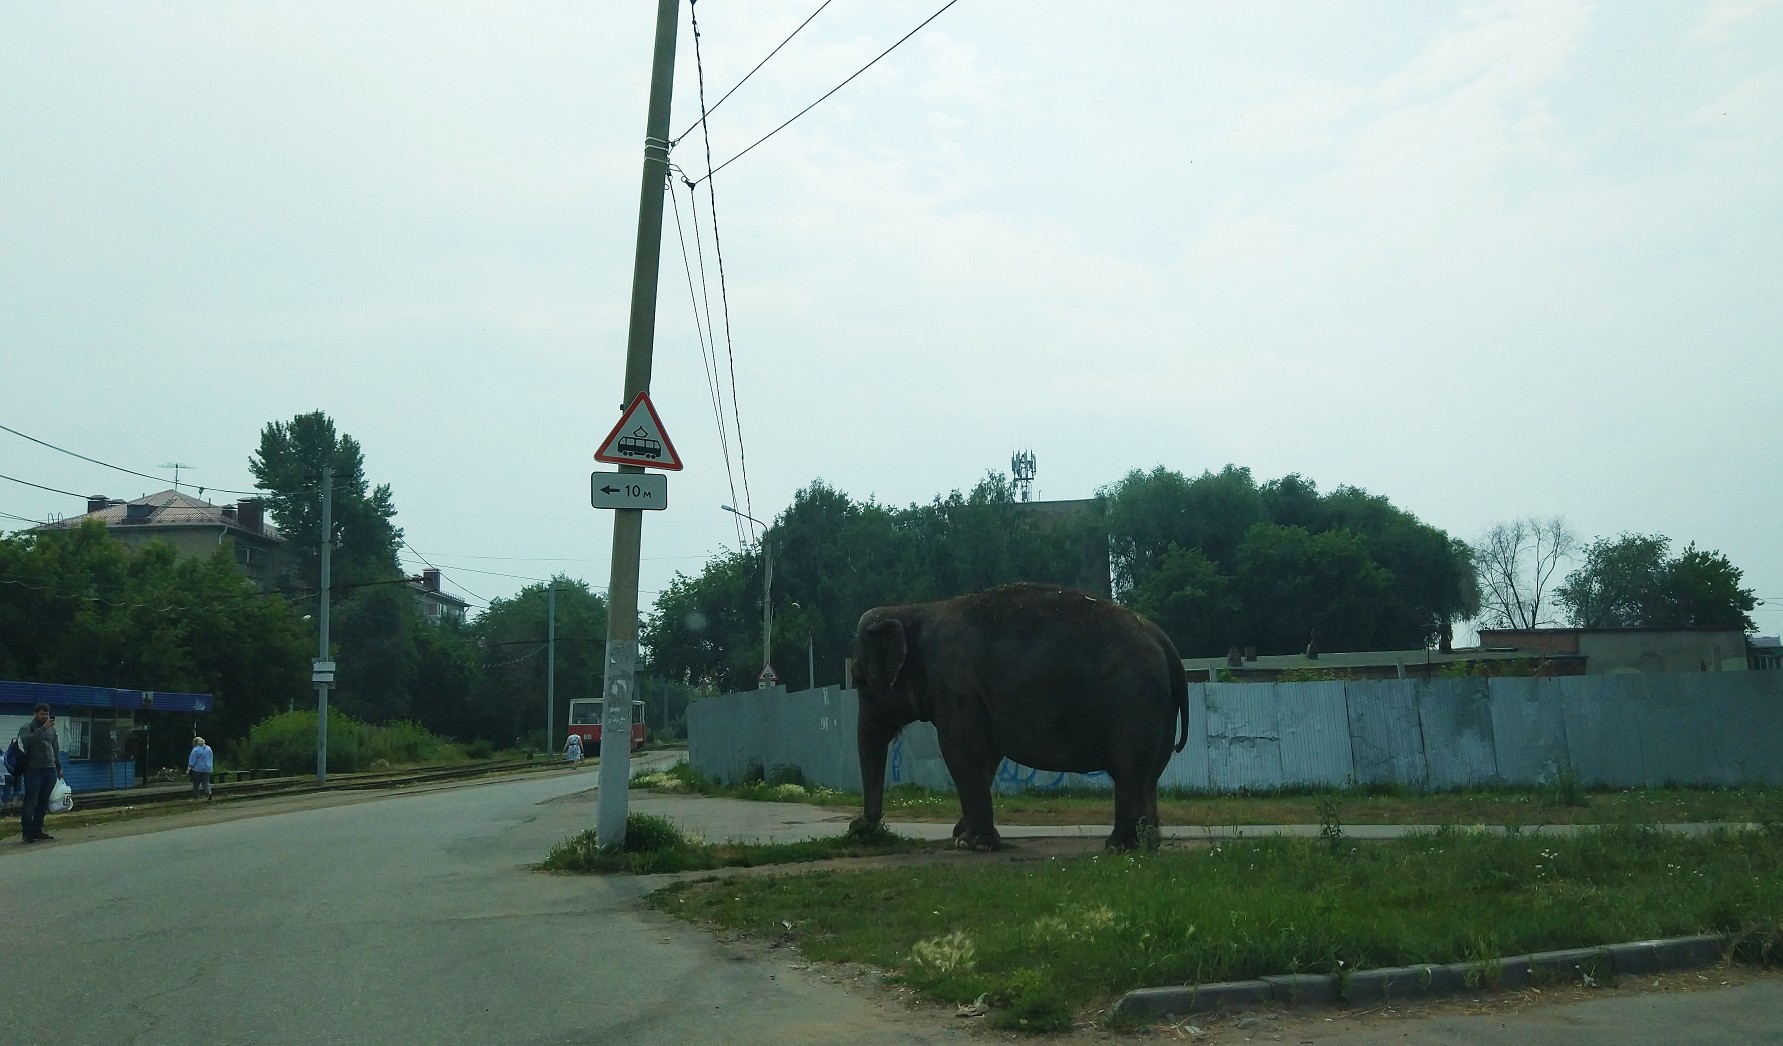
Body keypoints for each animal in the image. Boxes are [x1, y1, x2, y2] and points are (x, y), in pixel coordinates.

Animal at [845, 580, 1183, 851]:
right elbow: (986, 756)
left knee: (1129, 769)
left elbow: (960, 751)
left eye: (859, 680)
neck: (915, 610)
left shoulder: (955, 685)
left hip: (1135, 699)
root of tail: (1166, 644)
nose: (856, 825)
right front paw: (962, 834)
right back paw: (1148, 843)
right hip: (1160, 708)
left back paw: (1118, 847)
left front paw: (973, 845)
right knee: (1151, 772)